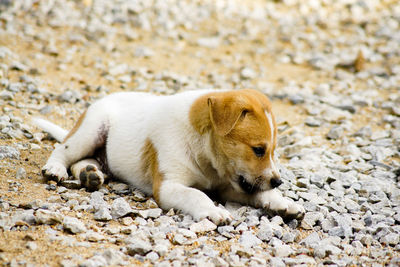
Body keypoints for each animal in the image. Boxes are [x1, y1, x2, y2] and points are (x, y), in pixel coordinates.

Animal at [34, 89, 304, 224]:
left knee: (87, 161)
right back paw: (55, 169)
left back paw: (90, 175)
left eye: (273, 150)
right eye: (258, 149)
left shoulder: (229, 186)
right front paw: (213, 211)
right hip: (91, 130)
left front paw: (282, 201)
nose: (278, 181)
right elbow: (196, 194)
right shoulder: (168, 186)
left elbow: (259, 192)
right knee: (63, 150)